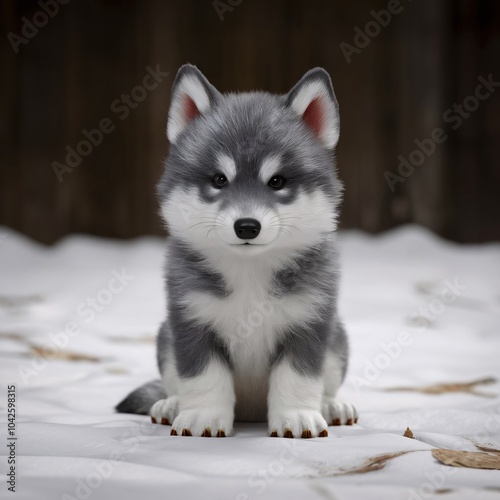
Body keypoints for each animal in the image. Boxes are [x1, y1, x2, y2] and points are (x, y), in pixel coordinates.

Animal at [116, 65, 360, 438]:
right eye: (219, 179)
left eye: (277, 181)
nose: (247, 226)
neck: (249, 271)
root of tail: (251, 412)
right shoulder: (191, 321)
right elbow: (204, 376)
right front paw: (201, 416)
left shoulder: (310, 322)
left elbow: (298, 377)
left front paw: (297, 416)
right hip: (165, 338)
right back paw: (171, 405)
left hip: (338, 341)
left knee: (328, 383)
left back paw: (332, 406)